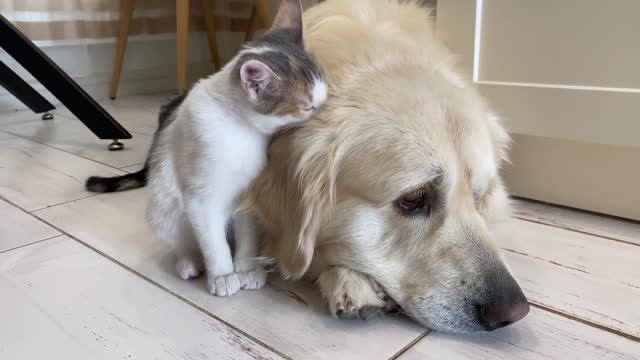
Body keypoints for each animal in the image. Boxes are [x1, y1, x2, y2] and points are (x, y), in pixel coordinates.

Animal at [86, 0, 324, 296]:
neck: (240, 130)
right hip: (162, 211)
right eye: (307, 106)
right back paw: (189, 262)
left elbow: (247, 234)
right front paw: (222, 275)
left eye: (323, 85)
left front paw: (247, 269)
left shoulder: (249, 195)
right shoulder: (200, 198)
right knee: (184, 241)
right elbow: (212, 240)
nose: (323, 108)